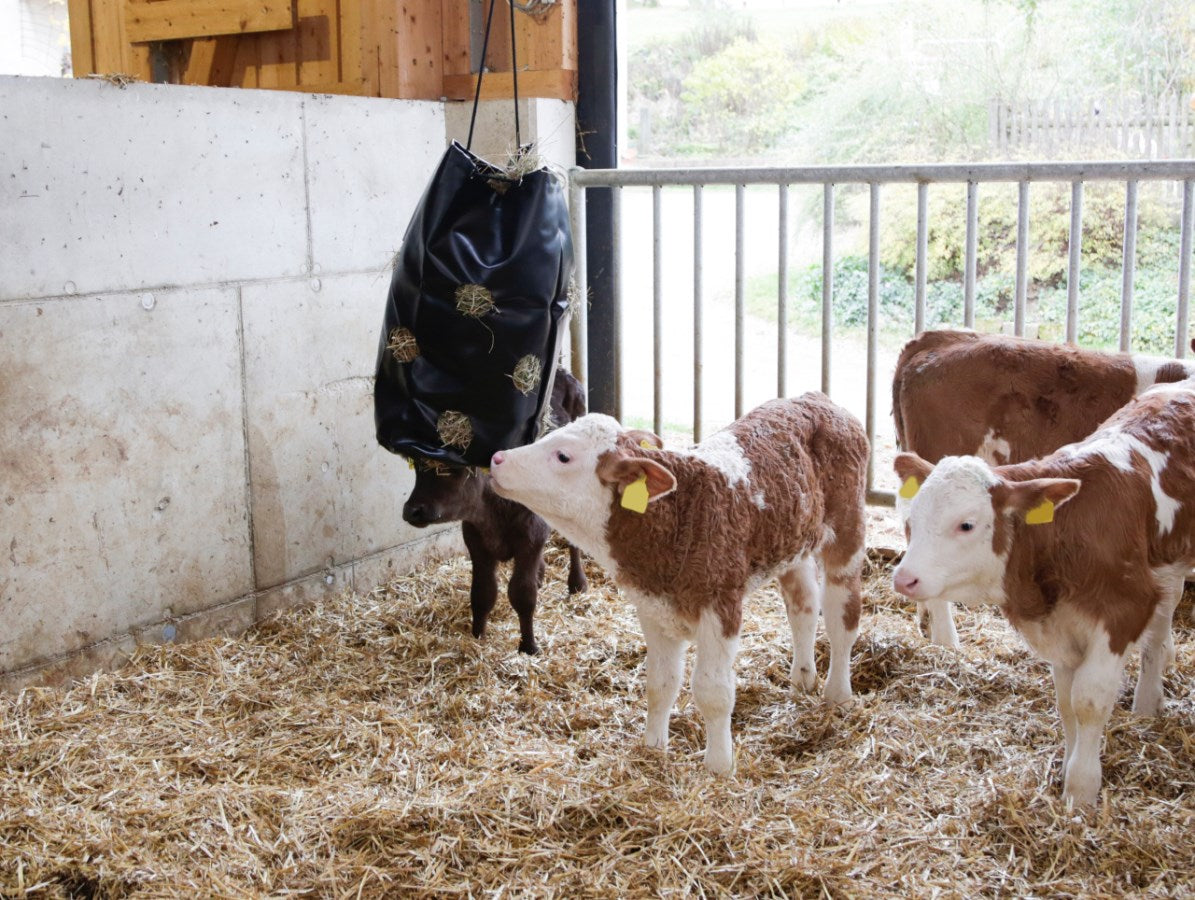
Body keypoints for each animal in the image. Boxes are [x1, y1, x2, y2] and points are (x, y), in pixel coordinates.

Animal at [401, 365, 587, 654]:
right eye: (418, 468)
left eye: (452, 470)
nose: (412, 511)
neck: (491, 513)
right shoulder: (476, 540)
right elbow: (483, 592)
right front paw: (477, 635)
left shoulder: (529, 538)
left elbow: (522, 594)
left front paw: (528, 646)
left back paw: (577, 583)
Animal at [485, 392, 869, 774]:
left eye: (563, 455)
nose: (497, 457)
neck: (677, 513)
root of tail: (816, 398)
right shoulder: (653, 608)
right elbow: (660, 683)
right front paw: (654, 747)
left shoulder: (720, 605)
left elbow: (713, 691)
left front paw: (719, 766)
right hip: (793, 541)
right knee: (803, 606)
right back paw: (803, 679)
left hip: (847, 530)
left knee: (842, 618)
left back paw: (837, 694)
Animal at [893, 380, 1195, 807]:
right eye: (913, 517)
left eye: (966, 524)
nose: (904, 579)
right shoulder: (1060, 628)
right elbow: (1066, 702)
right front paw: (1066, 771)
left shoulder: (1125, 609)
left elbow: (1089, 700)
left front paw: (1082, 790)